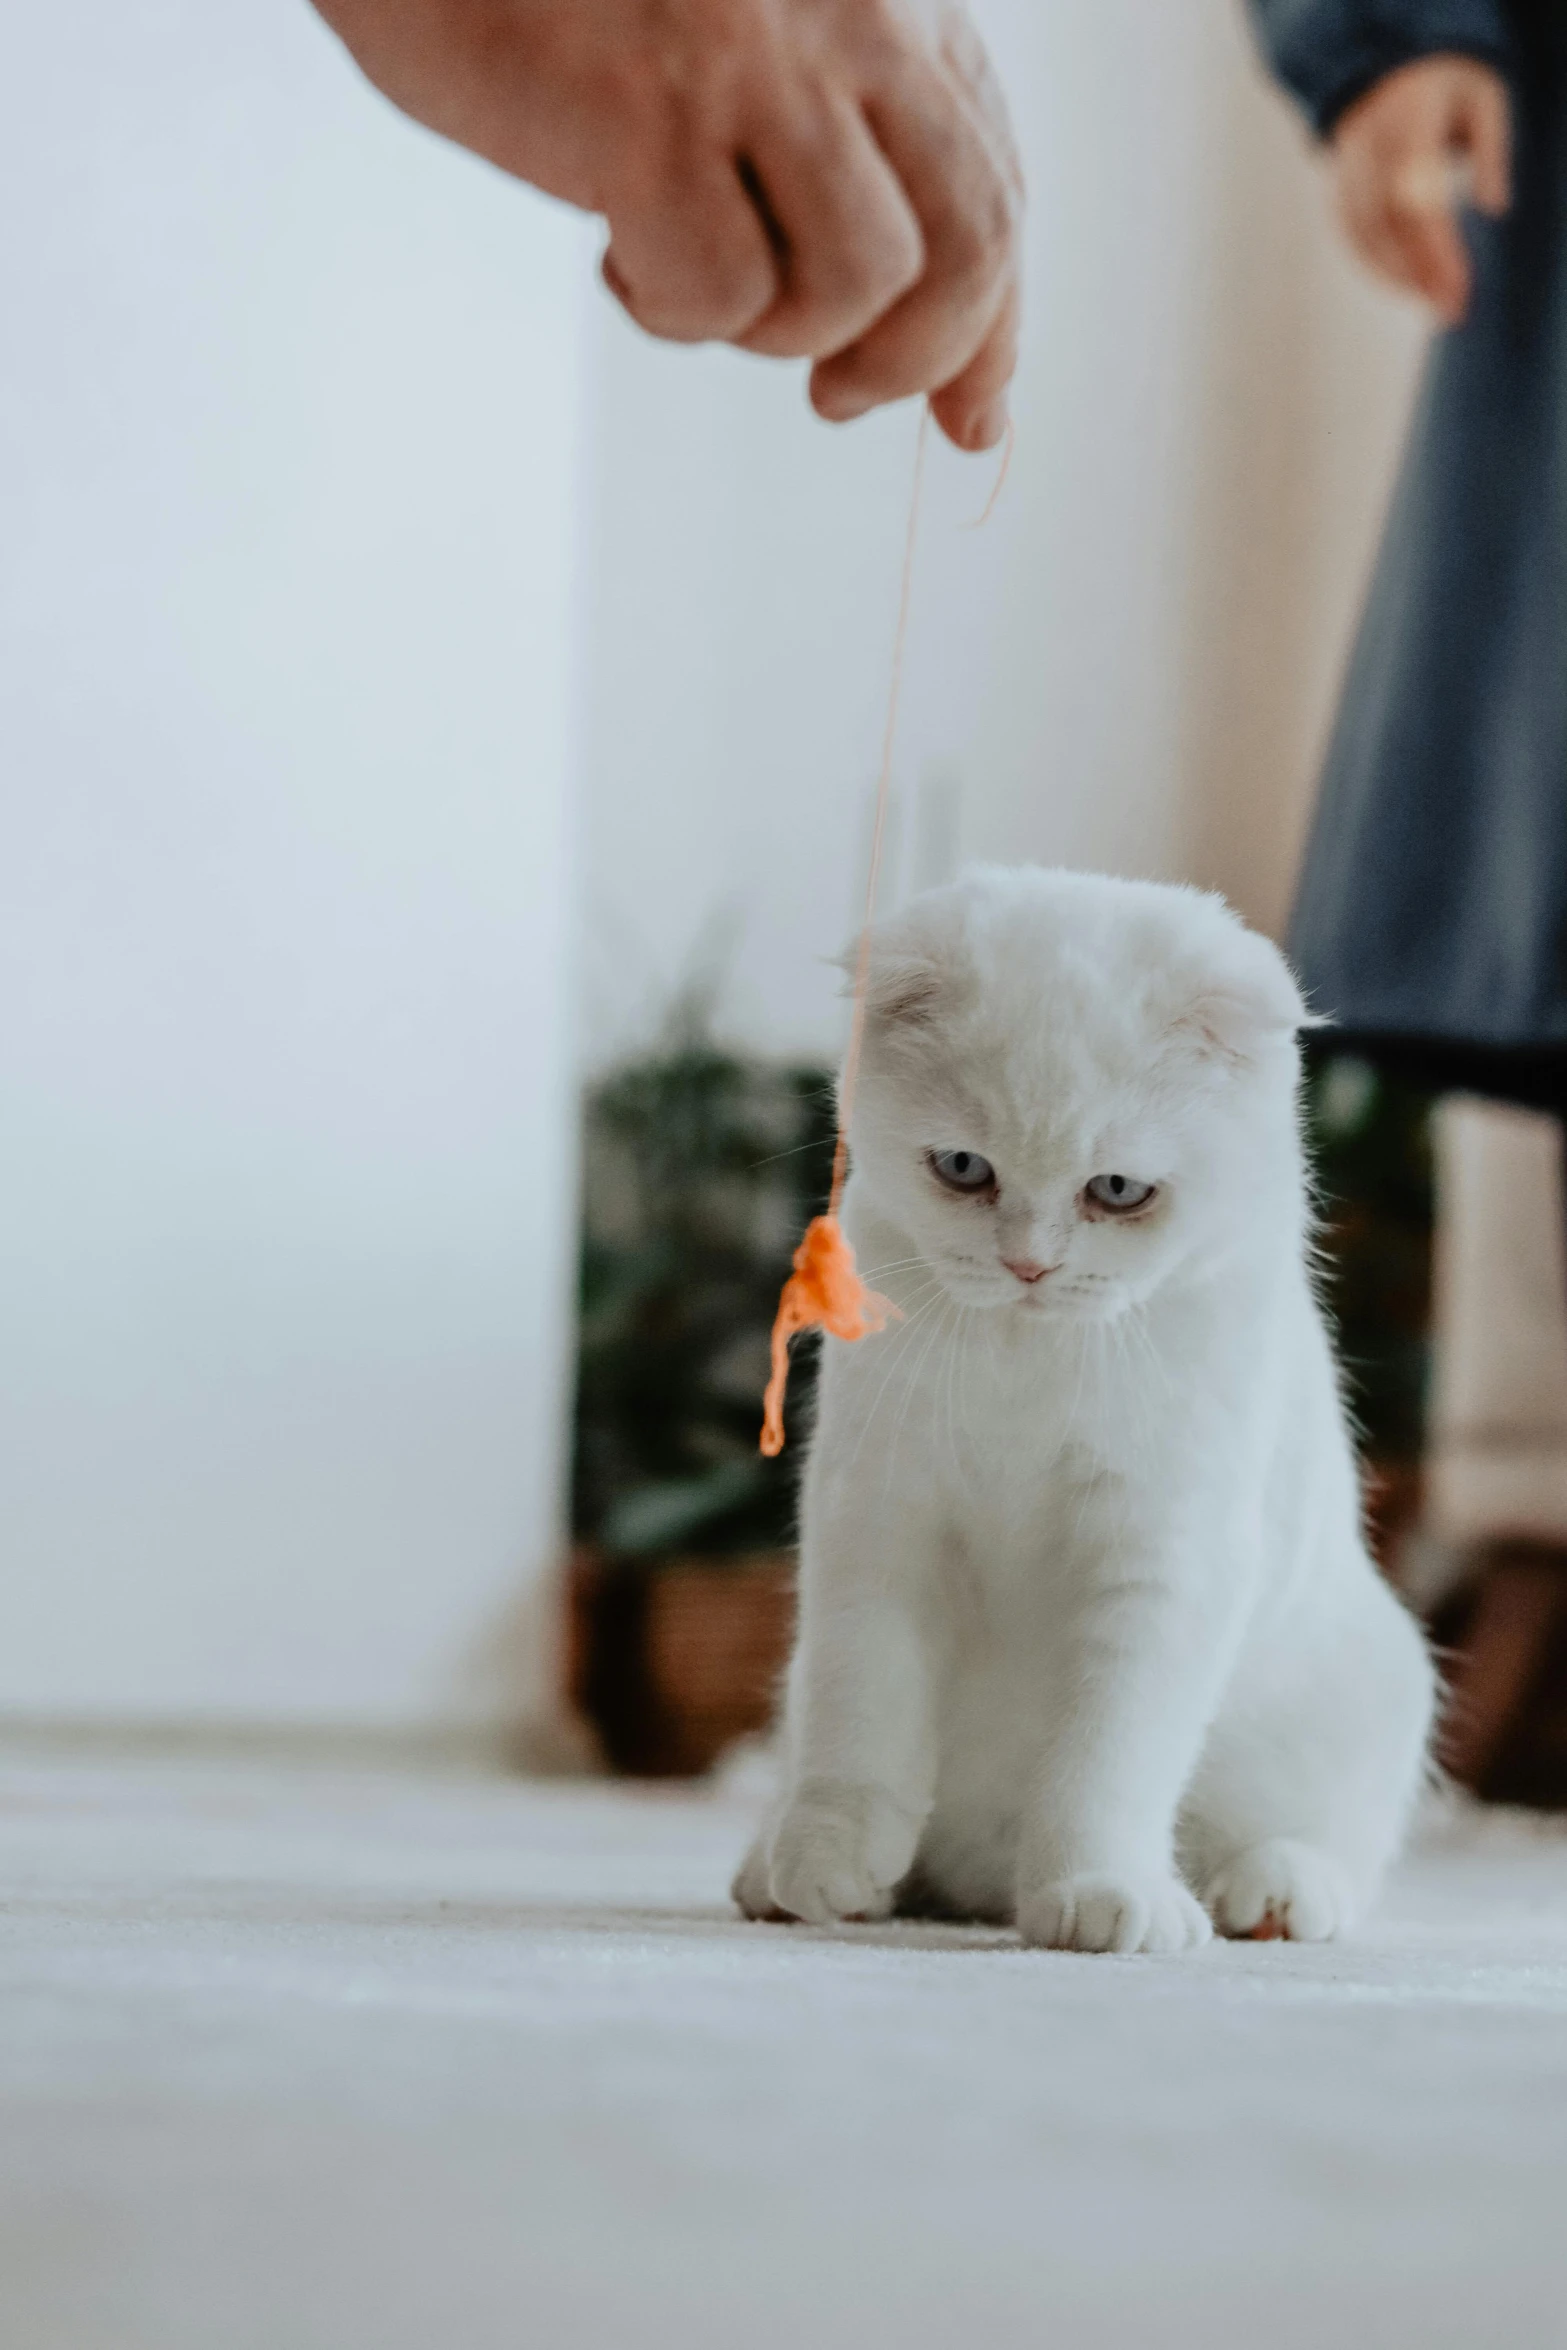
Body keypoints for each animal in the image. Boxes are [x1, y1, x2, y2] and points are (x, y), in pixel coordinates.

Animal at [737, 874, 1437, 1955]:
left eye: (1115, 1189)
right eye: (963, 1168)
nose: (1029, 1264)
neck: (1027, 1361)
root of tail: (979, 1884)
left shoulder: (1160, 1558)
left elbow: (1106, 1761)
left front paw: (1099, 1891)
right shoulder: (878, 1517)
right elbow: (862, 1711)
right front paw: (826, 1858)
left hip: (1373, 1687)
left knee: (1327, 1848)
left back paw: (1275, 1894)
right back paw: (772, 1865)